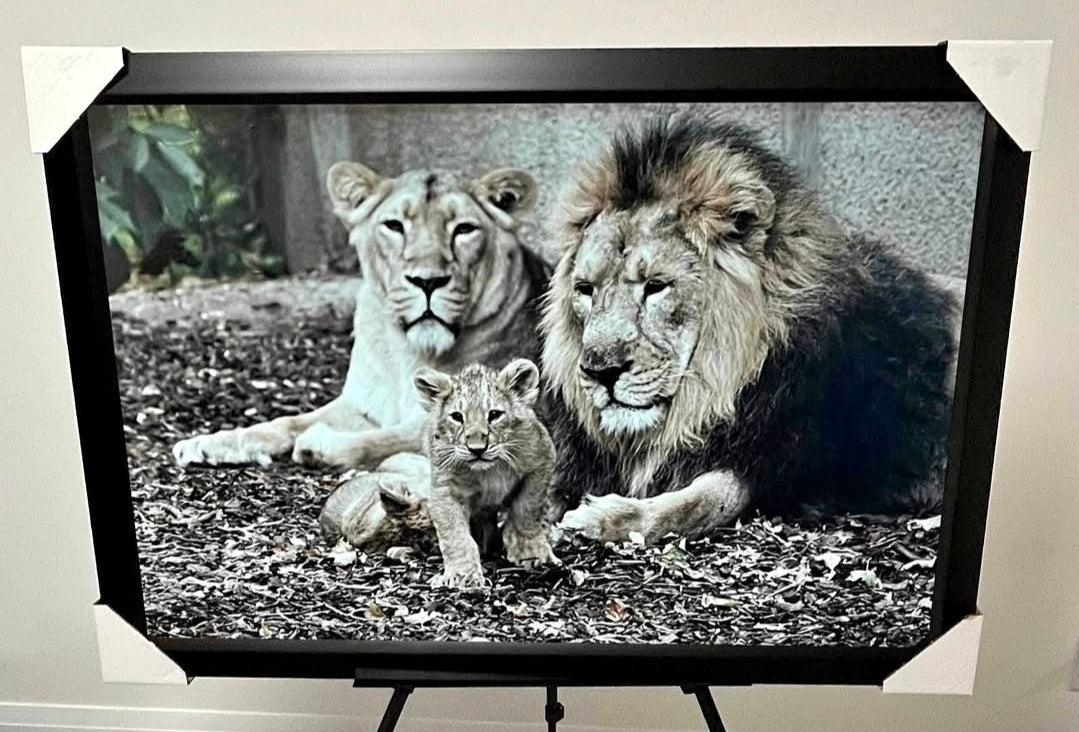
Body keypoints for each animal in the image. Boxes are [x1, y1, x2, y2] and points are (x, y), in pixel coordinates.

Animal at [172, 162, 548, 474]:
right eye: (394, 226)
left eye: (464, 229)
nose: (427, 281)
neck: (407, 353)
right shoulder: (360, 405)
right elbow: (286, 421)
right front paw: (209, 442)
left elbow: (387, 438)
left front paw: (318, 443)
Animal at [545, 116, 959, 544]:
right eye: (586, 289)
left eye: (656, 286)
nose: (600, 371)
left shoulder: (775, 466)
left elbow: (704, 500)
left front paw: (602, 516)